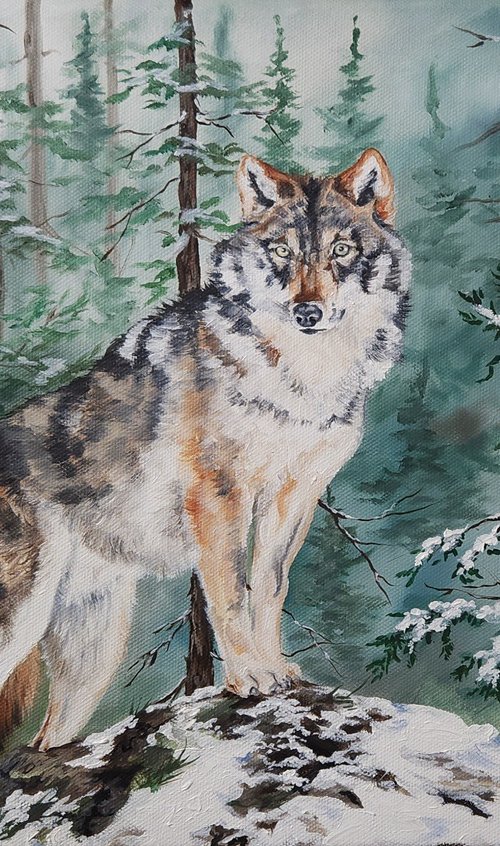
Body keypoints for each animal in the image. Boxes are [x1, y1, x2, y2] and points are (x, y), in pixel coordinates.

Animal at [0, 149, 410, 750]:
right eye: (282, 252)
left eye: (341, 250)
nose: (307, 313)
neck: (302, 379)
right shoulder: (219, 494)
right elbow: (230, 592)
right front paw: (247, 676)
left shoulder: (295, 495)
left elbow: (267, 587)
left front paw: (277, 668)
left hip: (90, 660)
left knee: (43, 744)